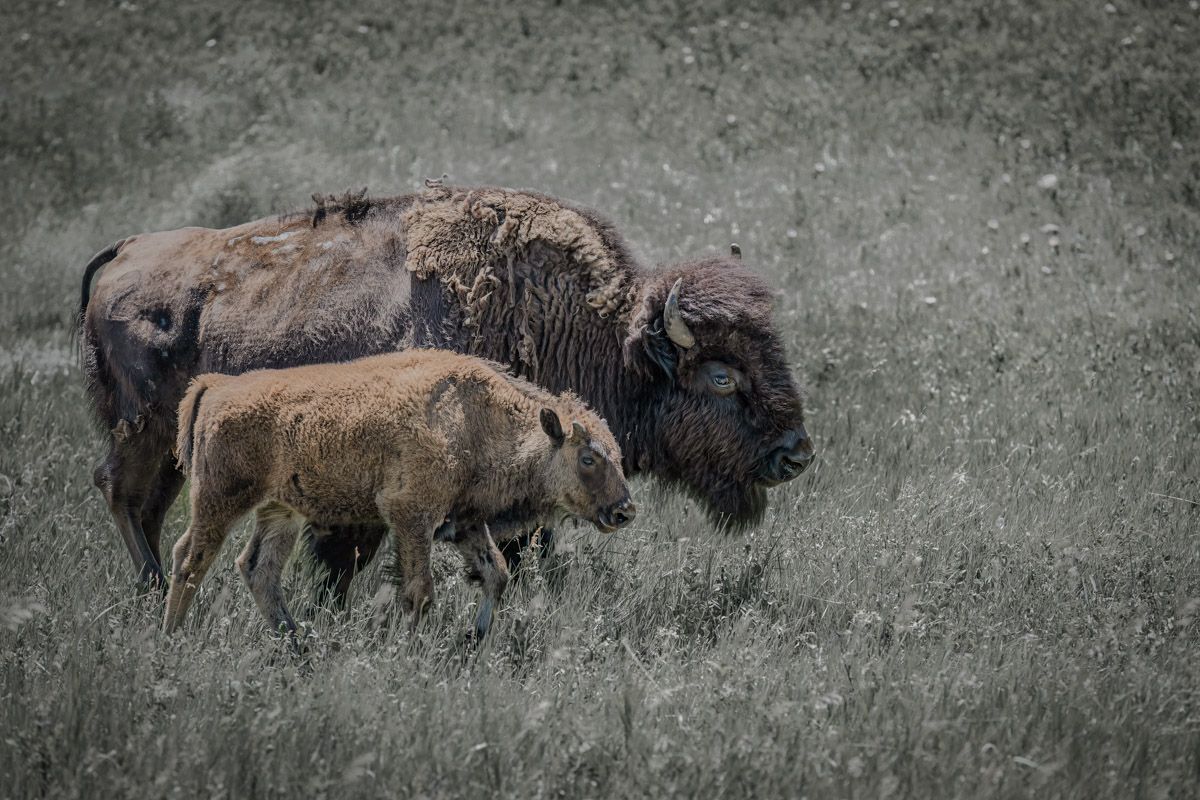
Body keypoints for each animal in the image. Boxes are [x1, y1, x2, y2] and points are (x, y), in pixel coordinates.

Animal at [79, 183, 813, 596]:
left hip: (174, 447)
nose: (796, 454)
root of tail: (123, 251)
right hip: (141, 428)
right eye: (722, 375)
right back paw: (151, 590)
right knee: (121, 493)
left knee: (145, 505)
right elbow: (349, 555)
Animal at [162, 349, 632, 638]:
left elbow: (496, 573)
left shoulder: (466, 522)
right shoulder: (411, 516)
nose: (624, 511)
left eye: (616, 454)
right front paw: (412, 652)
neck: (474, 418)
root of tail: (217, 385)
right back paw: (171, 636)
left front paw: (472, 639)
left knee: (258, 568)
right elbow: (420, 592)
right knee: (190, 559)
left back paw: (297, 643)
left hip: (280, 511)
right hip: (219, 500)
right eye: (588, 458)